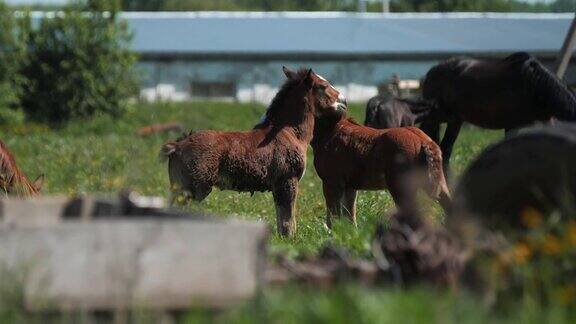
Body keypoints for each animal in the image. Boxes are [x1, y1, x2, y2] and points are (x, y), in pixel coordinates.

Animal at [161, 67, 346, 237]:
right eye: (323, 86)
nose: (343, 100)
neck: (289, 132)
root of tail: (177, 146)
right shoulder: (288, 181)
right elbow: (288, 219)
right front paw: (291, 240)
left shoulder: (278, 186)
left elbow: (280, 217)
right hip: (193, 189)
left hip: (178, 188)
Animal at [310, 112, 450, 229]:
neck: (329, 131)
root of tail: (423, 140)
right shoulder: (350, 186)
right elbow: (350, 214)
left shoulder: (331, 182)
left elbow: (333, 215)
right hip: (435, 182)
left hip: (400, 188)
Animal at [418, 51, 576, 171]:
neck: (533, 86)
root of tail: (431, 72)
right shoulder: (512, 126)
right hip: (433, 119)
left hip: (455, 120)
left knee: (445, 148)